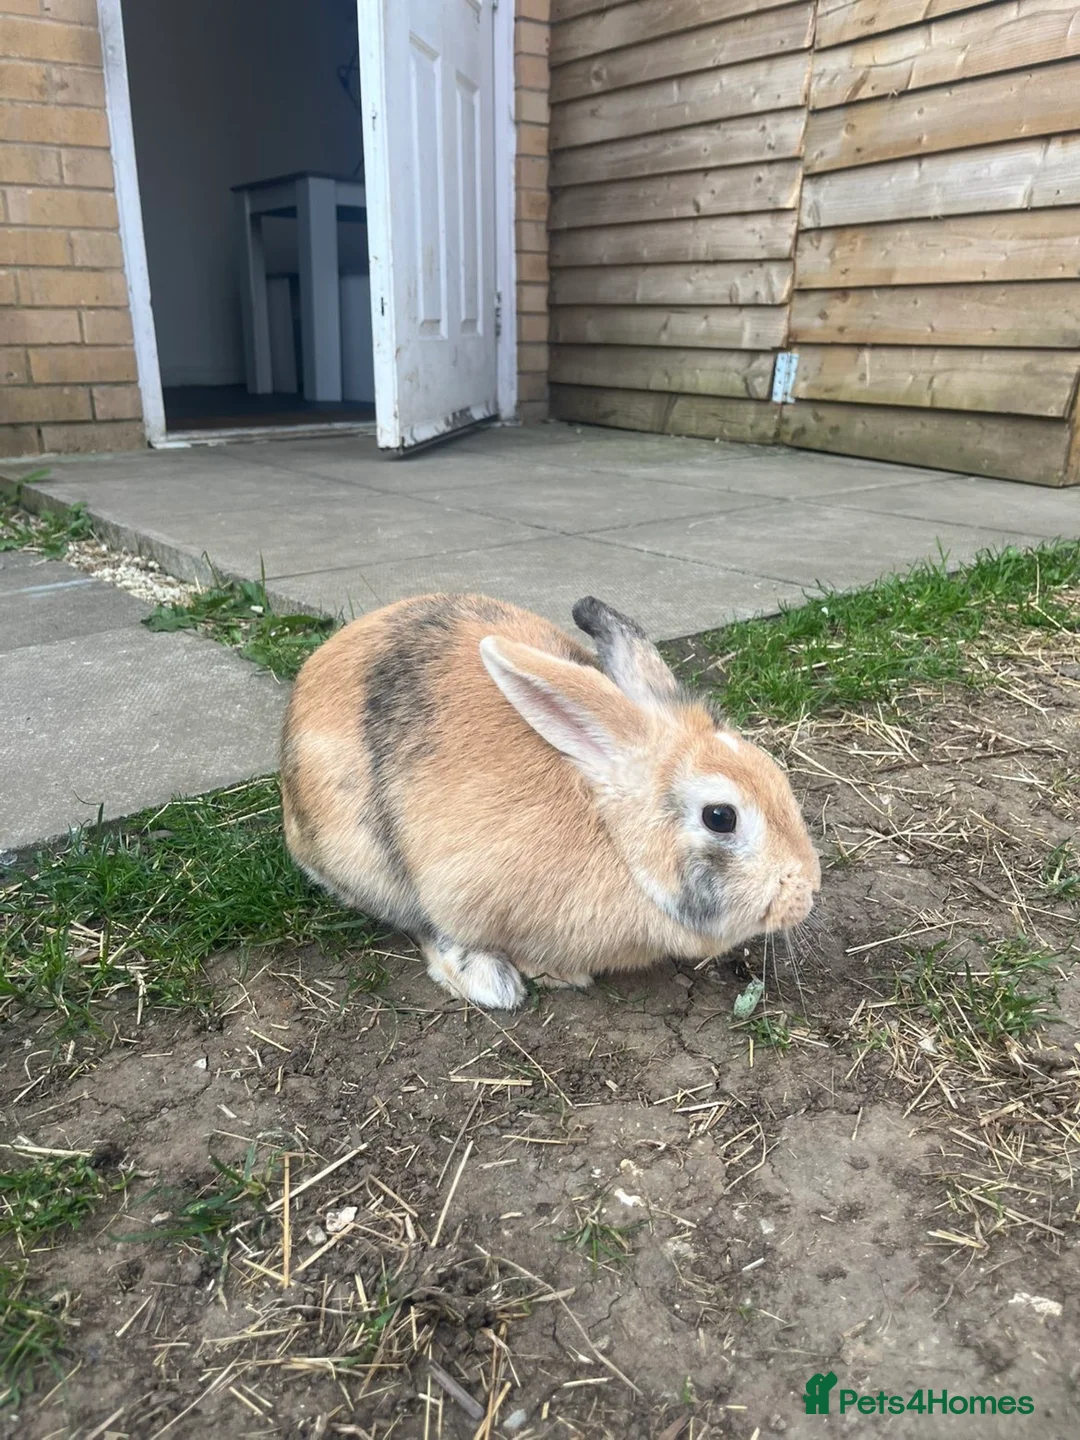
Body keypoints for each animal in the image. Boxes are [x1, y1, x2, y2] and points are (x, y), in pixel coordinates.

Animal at [280, 593, 820, 1010]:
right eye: (720, 816)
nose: (808, 889)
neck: (615, 839)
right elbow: (441, 929)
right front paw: (533, 977)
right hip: (363, 858)